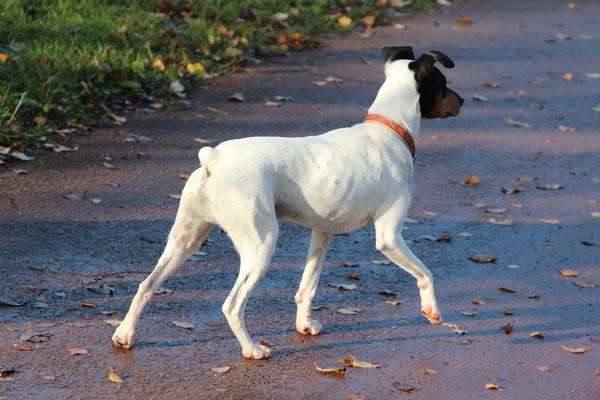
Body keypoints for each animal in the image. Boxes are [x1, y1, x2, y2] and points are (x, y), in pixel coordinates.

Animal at [112, 46, 464, 360]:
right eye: (444, 83)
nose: (462, 100)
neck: (389, 129)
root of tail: (214, 159)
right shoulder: (389, 237)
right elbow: (426, 273)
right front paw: (432, 310)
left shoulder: (322, 233)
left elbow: (307, 287)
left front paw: (305, 325)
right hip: (261, 244)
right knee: (232, 305)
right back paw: (252, 350)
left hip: (185, 240)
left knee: (146, 284)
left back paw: (125, 334)